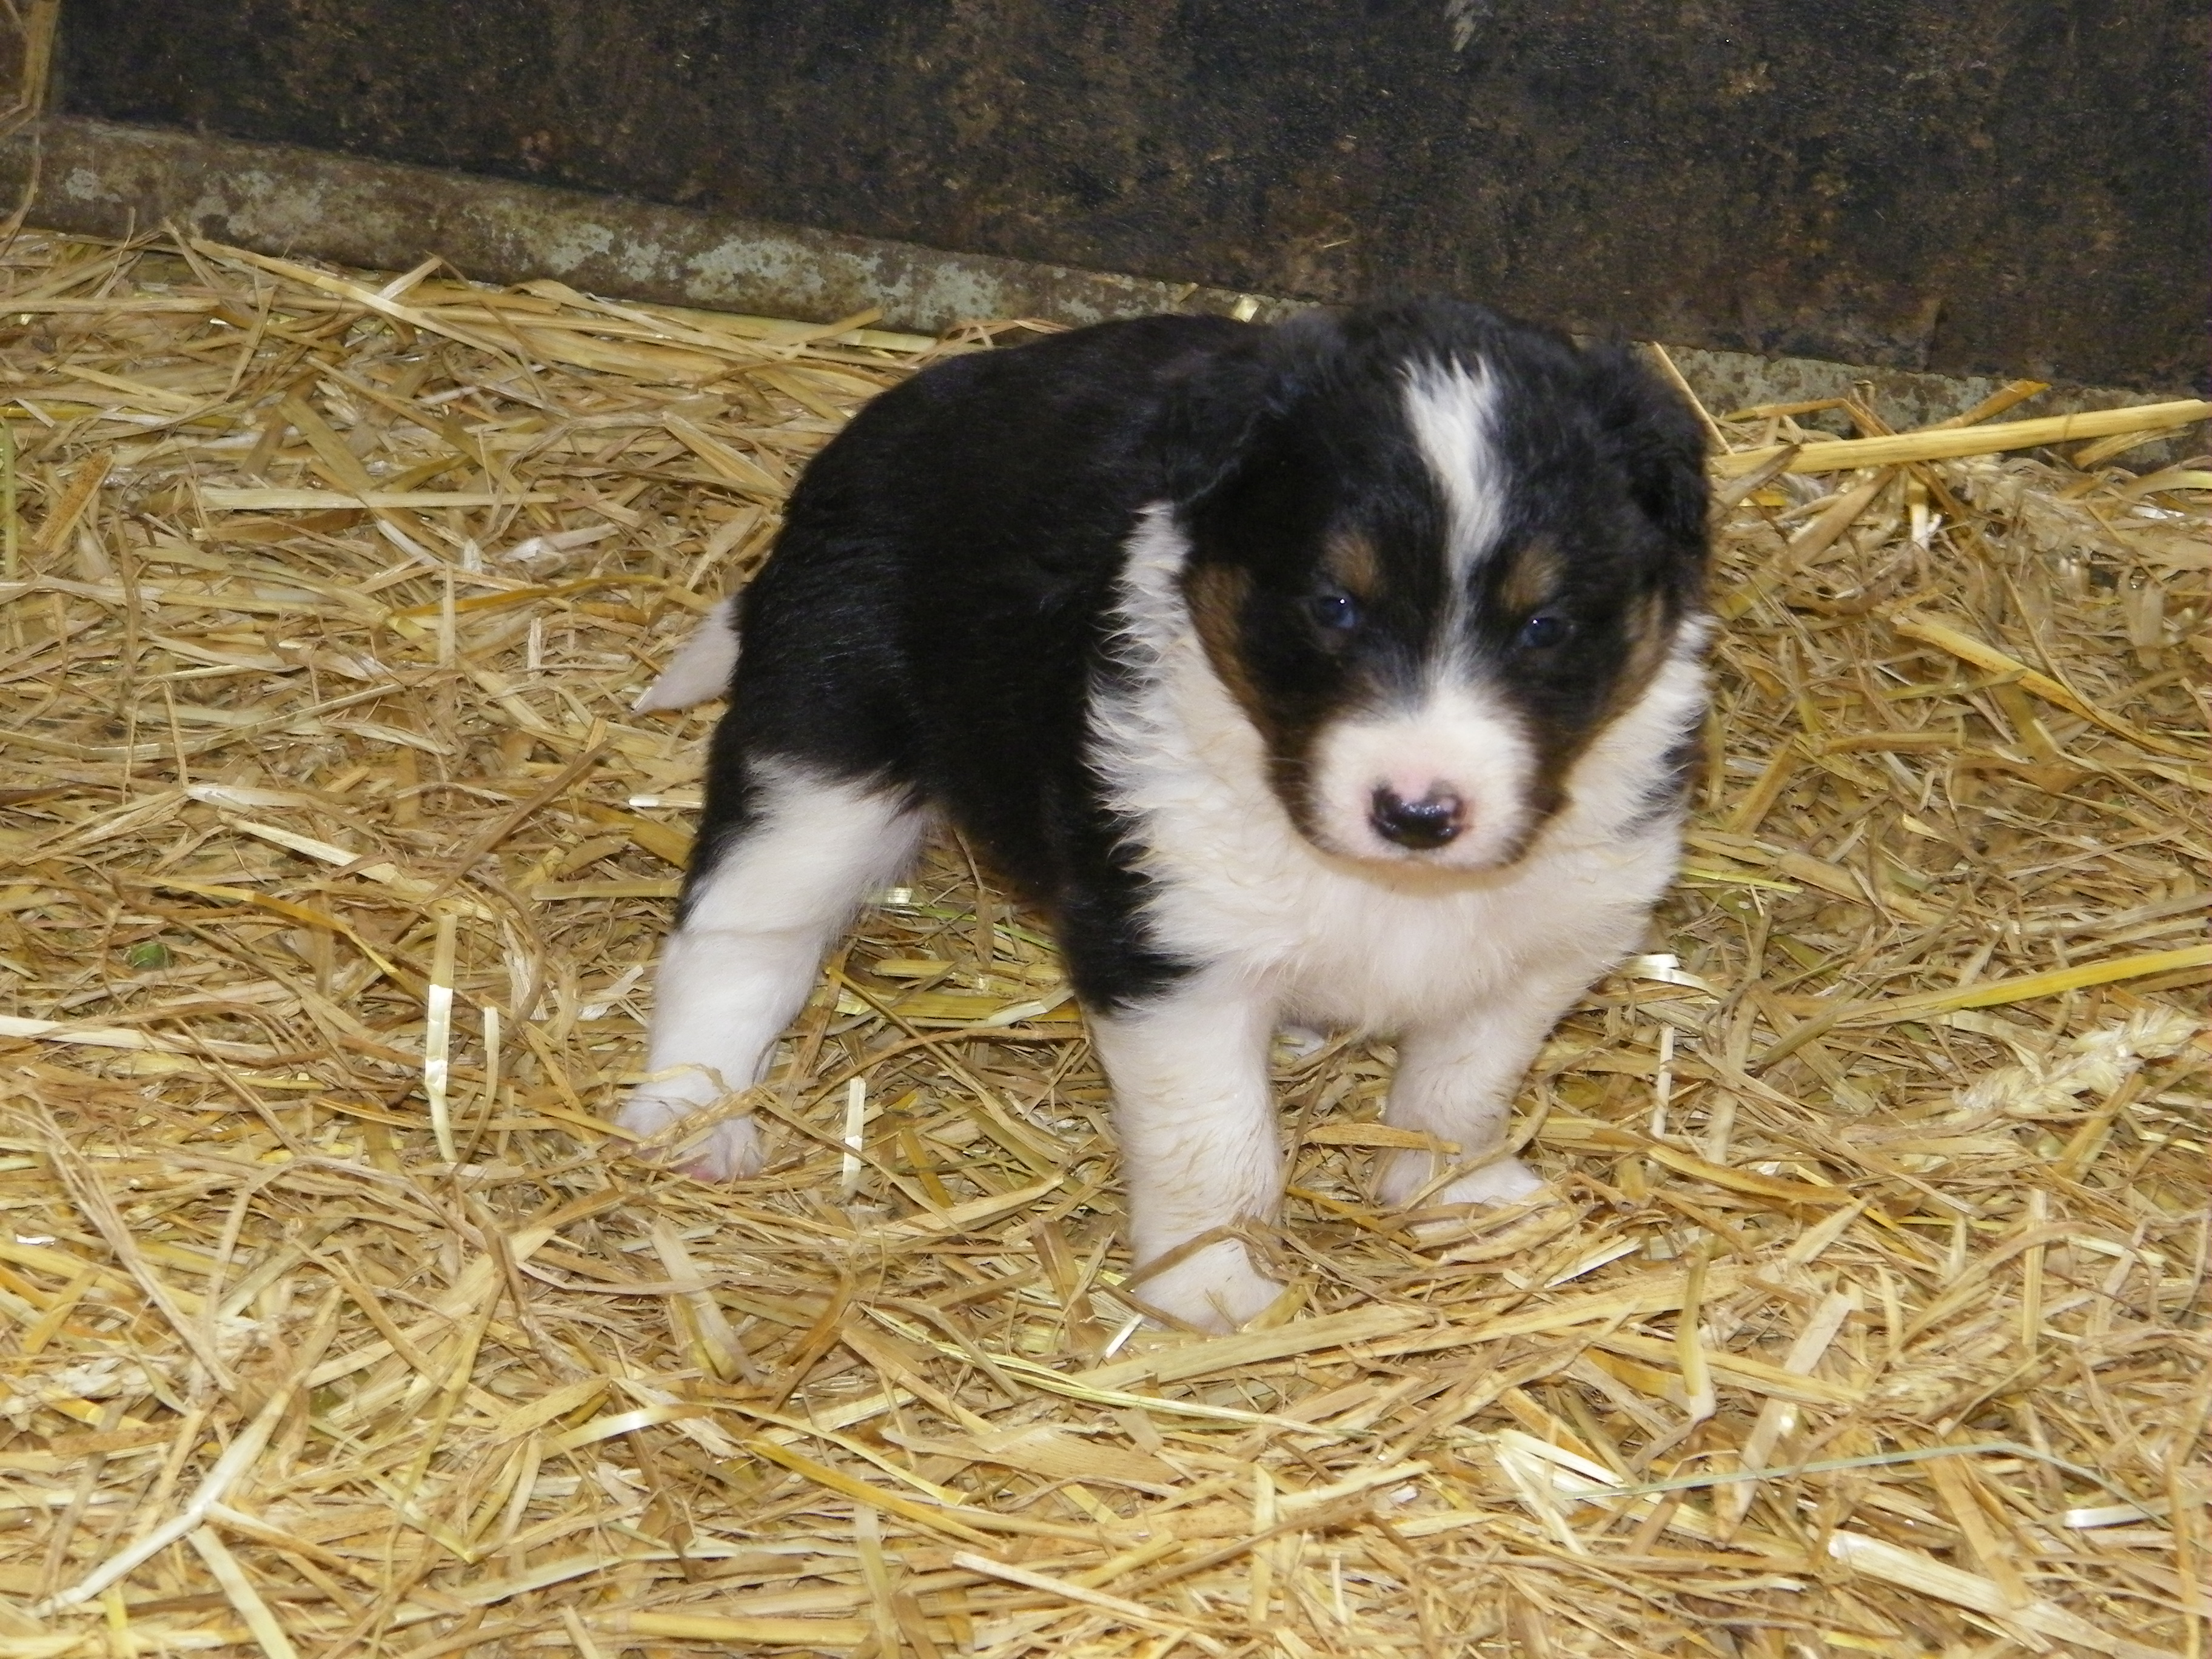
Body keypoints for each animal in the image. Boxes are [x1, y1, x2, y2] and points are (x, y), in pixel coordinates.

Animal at [623, 298, 1708, 1336]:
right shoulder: (1174, 954)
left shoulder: (1546, 942)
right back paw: (691, 1117)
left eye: (1545, 626)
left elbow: (1460, 1086)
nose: (1418, 813)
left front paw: (1457, 1196)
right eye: (1333, 606)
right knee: (739, 938)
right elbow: (1216, 1144)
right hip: (822, 750)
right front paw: (1211, 1288)